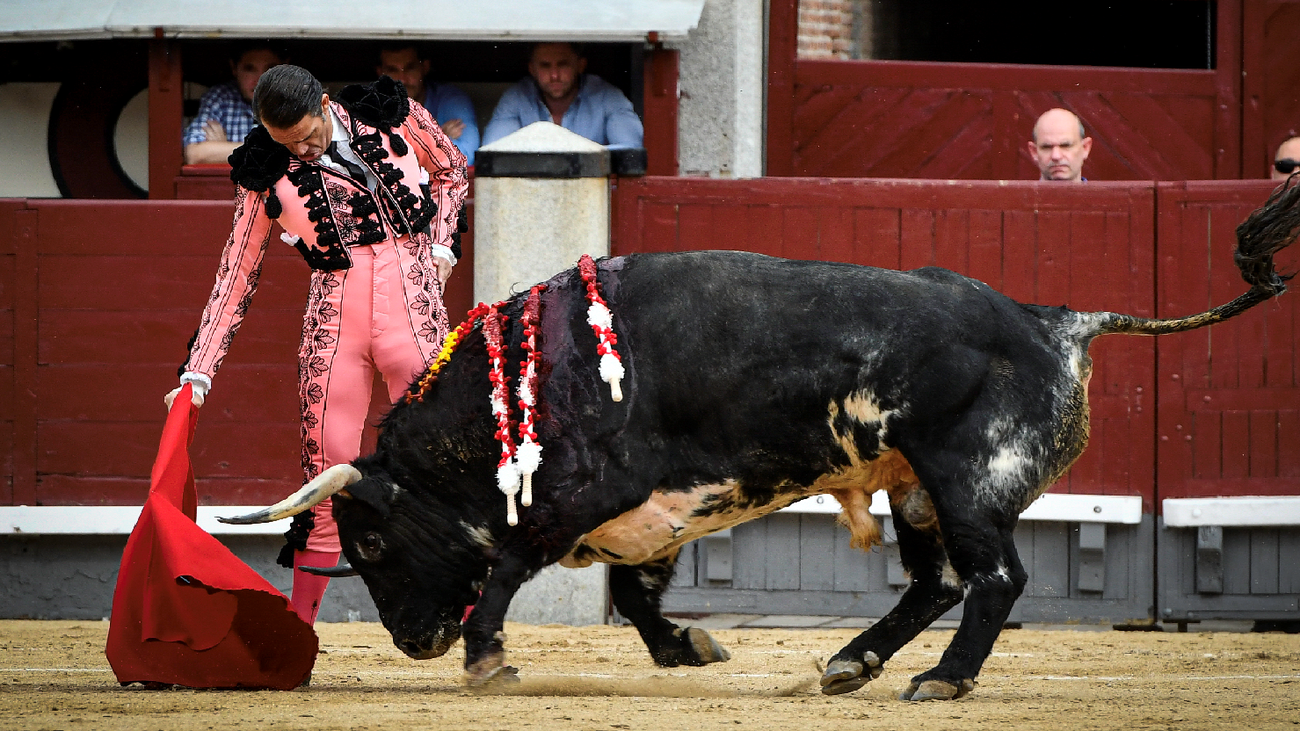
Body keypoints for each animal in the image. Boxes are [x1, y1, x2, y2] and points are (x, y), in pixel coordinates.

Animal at [228, 180, 1294, 691]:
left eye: (370, 541)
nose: (413, 642)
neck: (532, 380)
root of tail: (1056, 319)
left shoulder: (590, 493)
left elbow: (514, 561)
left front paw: (488, 657)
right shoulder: (654, 516)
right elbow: (634, 590)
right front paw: (688, 648)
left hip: (966, 478)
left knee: (993, 578)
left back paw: (940, 681)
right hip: (913, 484)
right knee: (936, 581)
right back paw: (852, 663)